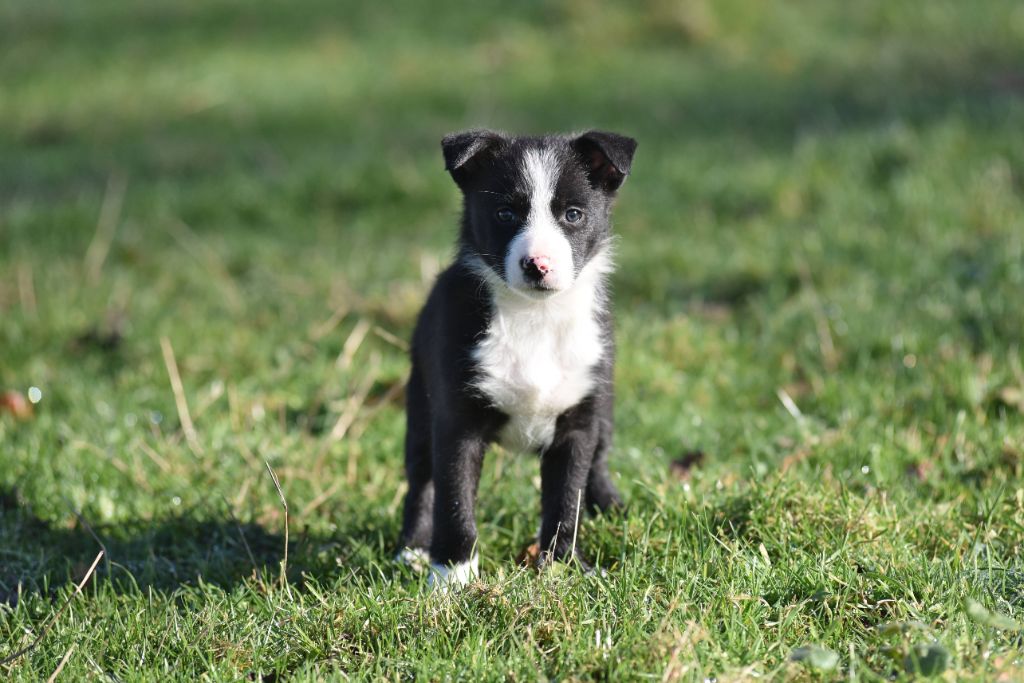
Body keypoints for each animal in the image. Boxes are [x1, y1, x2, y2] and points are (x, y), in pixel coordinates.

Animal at [395, 131, 634, 589]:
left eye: (573, 214)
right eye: (505, 213)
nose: (537, 264)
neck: (535, 316)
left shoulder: (578, 421)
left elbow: (566, 498)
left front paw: (563, 567)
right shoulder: (457, 420)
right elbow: (455, 501)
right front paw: (452, 577)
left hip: (606, 404)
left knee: (598, 460)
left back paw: (612, 506)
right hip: (420, 401)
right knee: (422, 480)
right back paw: (412, 550)